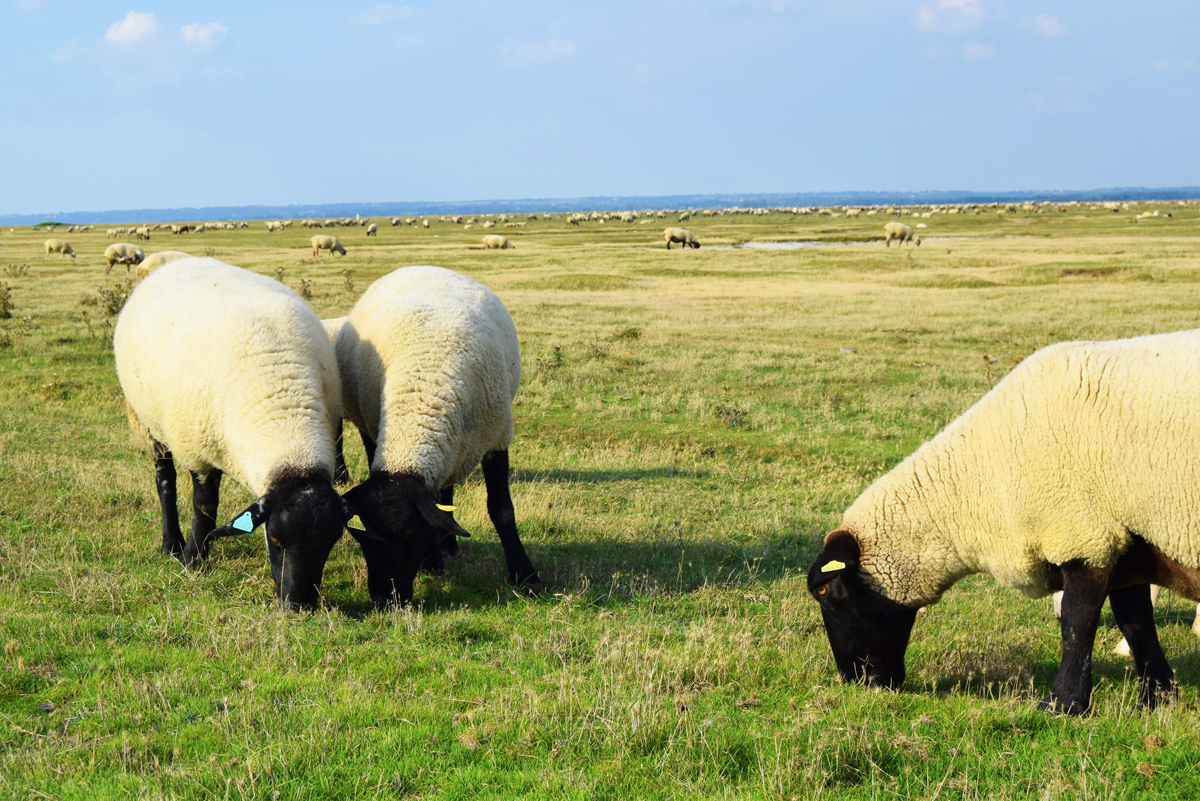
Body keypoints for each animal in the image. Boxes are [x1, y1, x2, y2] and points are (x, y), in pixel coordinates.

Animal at [114, 257, 373, 610]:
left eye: (331, 541)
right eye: (274, 539)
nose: (299, 606)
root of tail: (181, 259)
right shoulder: (197, 449)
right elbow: (204, 507)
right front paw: (193, 560)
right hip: (148, 420)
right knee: (164, 480)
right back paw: (171, 543)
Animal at [332, 265, 541, 607]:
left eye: (407, 533)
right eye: (361, 538)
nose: (384, 599)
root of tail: (418, 266)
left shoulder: (497, 439)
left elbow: (501, 511)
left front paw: (525, 575)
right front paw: (432, 562)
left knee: (446, 490)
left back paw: (451, 545)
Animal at [807, 328, 1200, 715]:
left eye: (824, 591)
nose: (855, 680)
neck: (984, 476)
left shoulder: (1083, 536)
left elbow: (1078, 624)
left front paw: (1062, 704)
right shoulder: (1124, 537)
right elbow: (1136, 623)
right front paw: (1156, 700)